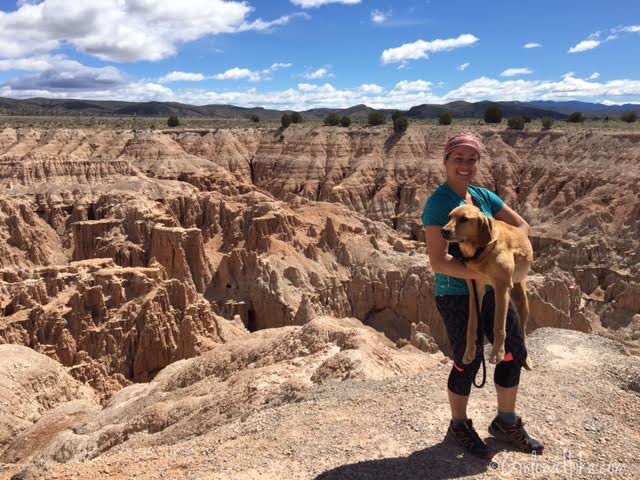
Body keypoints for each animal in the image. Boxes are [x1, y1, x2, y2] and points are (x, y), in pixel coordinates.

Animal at [442, 204, 532, 370]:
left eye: (464, 219)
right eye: (449, 217)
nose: (443, 231)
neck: (481, 250)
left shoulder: (502, 286)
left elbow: (499, 326)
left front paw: (498, 354)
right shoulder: (475, 287)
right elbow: (471, 325)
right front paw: (469, 352)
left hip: (521, 298)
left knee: (522, 331)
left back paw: (527, 359)